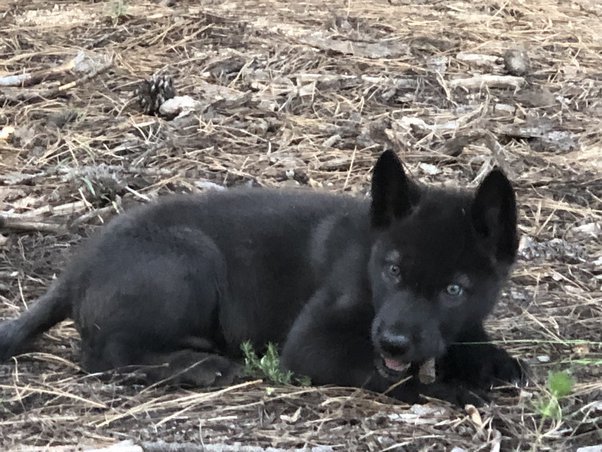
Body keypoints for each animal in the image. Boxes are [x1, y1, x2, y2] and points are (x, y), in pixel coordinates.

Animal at [0, 151, 524, 405]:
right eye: (392, 270)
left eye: (454, 289)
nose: (394, 341)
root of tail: (76, 267)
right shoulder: (312, 345)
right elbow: (388, 376)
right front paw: (451, 389)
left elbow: (478, 345)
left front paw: (493, 363)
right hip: (189, 260)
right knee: (103, 356)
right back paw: (199, 366)